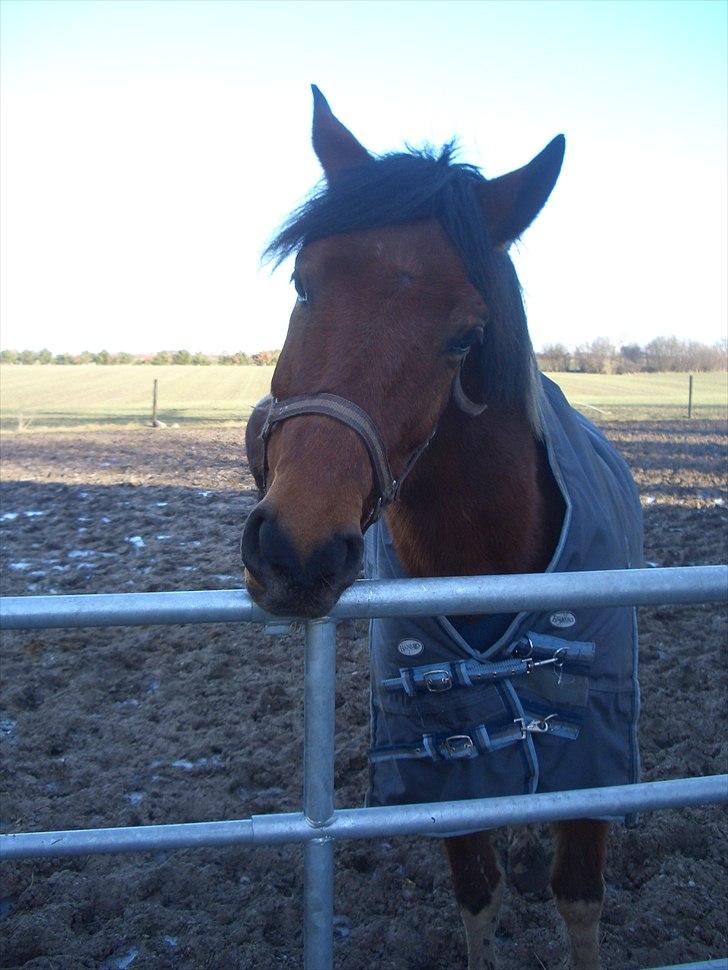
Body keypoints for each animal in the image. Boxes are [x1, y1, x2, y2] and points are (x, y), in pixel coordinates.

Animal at [242, 87, 640, 964]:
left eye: (465, 334)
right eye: (303, 285)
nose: (295, 550)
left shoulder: (596, 761)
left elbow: (579, 897)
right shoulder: (441, 763)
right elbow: (477, 894)